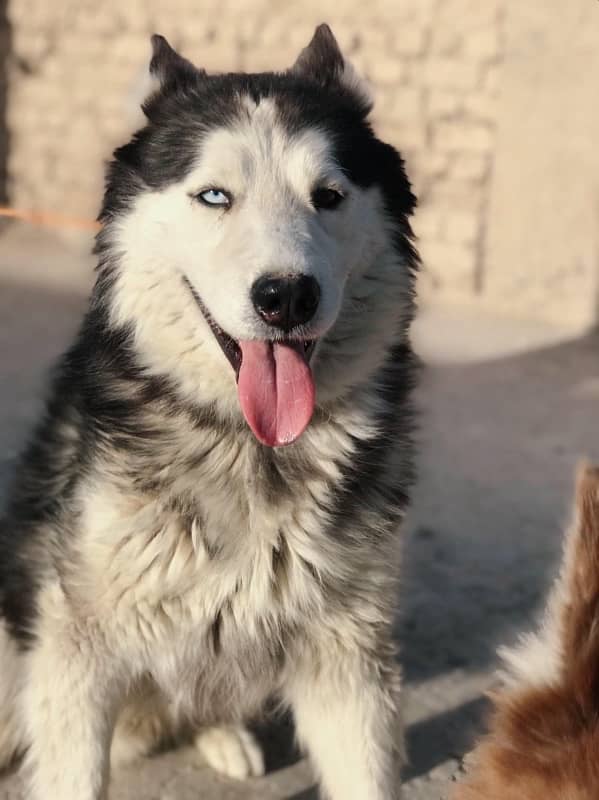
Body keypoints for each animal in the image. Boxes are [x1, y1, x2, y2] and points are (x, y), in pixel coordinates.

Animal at [0, 25, 418, 800]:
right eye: (215, 195)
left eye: (328, 195)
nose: (286, 296)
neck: (250, 448)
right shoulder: (76, 644)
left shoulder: (348, 649)